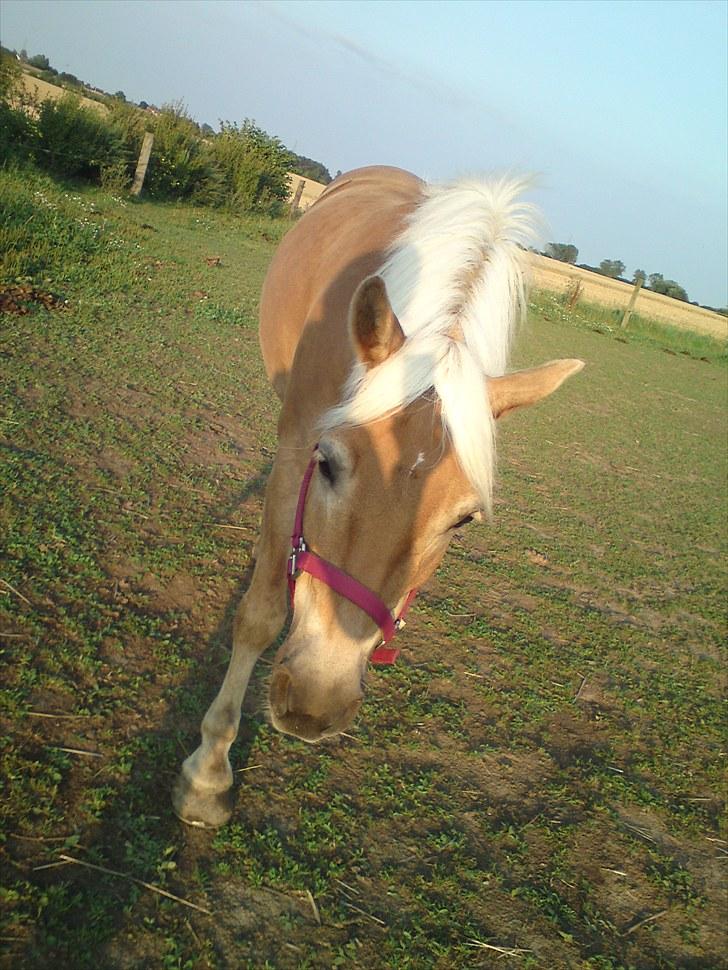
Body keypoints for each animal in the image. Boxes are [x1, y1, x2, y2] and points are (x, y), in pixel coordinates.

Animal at [172, 164, 584, 824]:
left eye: (463, 521)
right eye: (328, 464)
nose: (315, 702)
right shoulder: (297, 448)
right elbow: (261, 616)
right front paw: (208, 775)